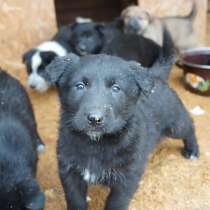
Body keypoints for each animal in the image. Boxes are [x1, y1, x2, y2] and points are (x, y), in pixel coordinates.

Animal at [42, 53, 199, 210]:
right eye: (80, 86)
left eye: (116, 88)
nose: (95, 119)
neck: (95, 144)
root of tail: (155, 75)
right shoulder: (69, 172)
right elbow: (75, 200)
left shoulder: (128, 178)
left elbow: (116, 203)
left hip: (175, 124)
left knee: (189, 125)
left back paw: (192, 150)